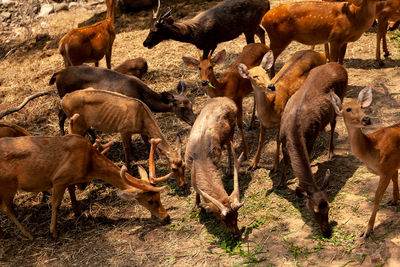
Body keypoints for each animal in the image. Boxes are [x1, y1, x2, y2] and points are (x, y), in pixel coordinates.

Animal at [0, 134, 170, 241]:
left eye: (159, 197)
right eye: (150, 201)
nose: (166, 217)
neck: (89, 166)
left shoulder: (69, 181)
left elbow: (72, 192)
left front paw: (78, 212)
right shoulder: (59, 179)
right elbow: (56, 204)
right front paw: (53, 232)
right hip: (8, 183)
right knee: (6, 208)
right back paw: (29, 234)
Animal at [49, 65, 196, 136]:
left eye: (191, 104)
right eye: (182, 107)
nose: (194, 121)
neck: (141, 95)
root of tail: (57, 74)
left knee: (60, 115)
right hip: (64, 95)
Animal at [184, 97, 244, 239]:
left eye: (237, 216)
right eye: (222, 219)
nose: (236, 234)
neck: (200, 158)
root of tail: (226, 98)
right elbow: (196, 190)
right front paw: (197, 205)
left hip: (231, 130)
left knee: (230, 148)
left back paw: (230, 170)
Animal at [276, 63, 348, 239]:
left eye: (329, 207)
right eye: (315, 211)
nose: (327, 232)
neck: (294, 132)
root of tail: (339, 65)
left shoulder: (311, 138)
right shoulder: (282, 140)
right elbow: (286, 161)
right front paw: (281, 183)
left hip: (341, 97)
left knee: (334, 122)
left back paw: (331, 152)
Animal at [332, 87, 400, 239]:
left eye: (362, 107)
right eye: (348, 109)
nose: (366, 119)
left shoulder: (386, 170)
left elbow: (377, 197)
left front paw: (367, 231)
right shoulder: (392, 166)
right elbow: (395, 178)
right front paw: (394, 200)